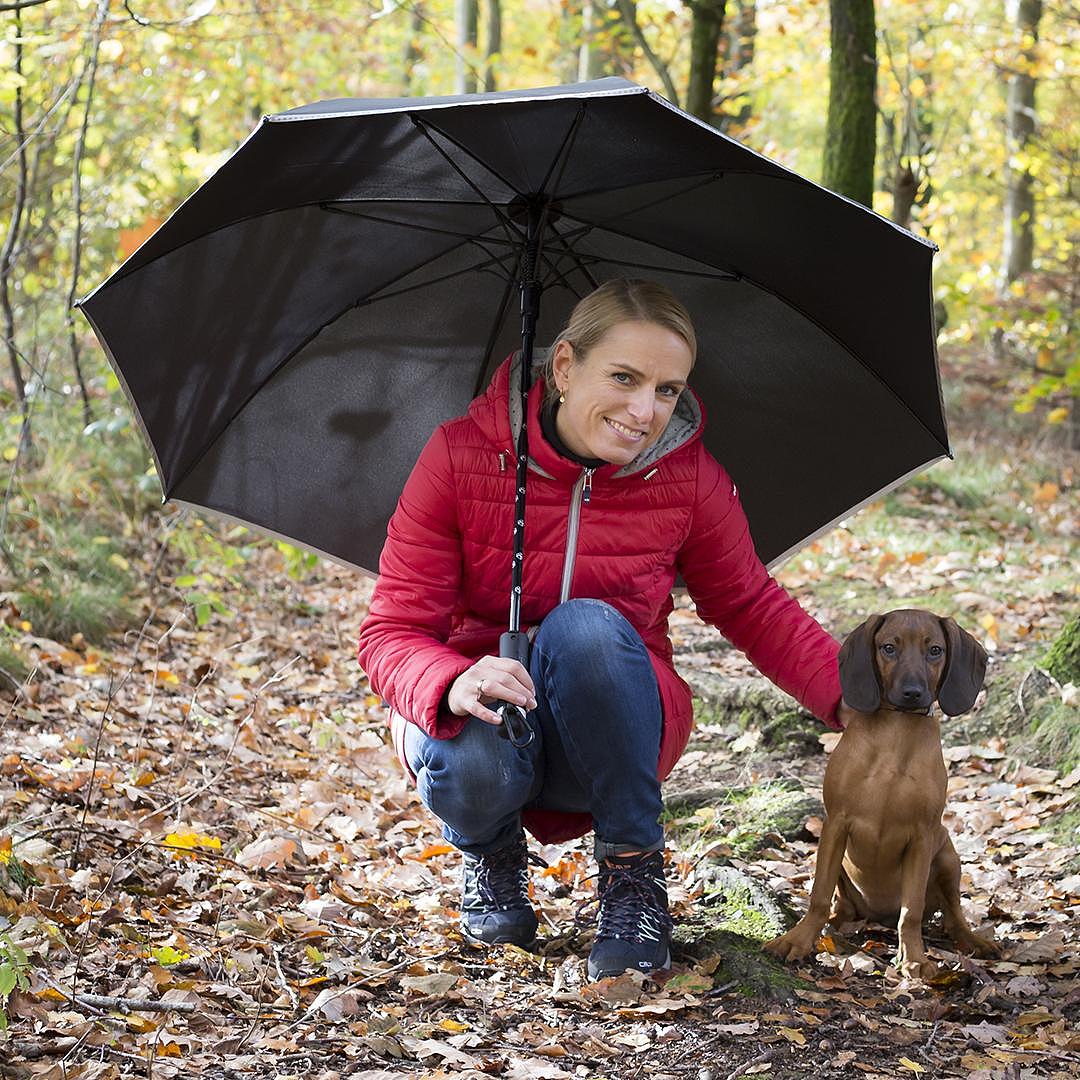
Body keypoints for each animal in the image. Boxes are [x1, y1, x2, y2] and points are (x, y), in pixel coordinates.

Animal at [764, 609, 997, 980]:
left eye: (935, 650)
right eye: (888, 647)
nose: (913, 692)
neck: (895, 733)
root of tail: (877, 918)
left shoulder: (922, 837)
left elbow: (911, 911)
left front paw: (914, 958)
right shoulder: (836, 824)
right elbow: (818, 895)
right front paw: (797, 940)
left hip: (948, 856)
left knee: (952, 914)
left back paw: (972, 939)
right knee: (839, 906)